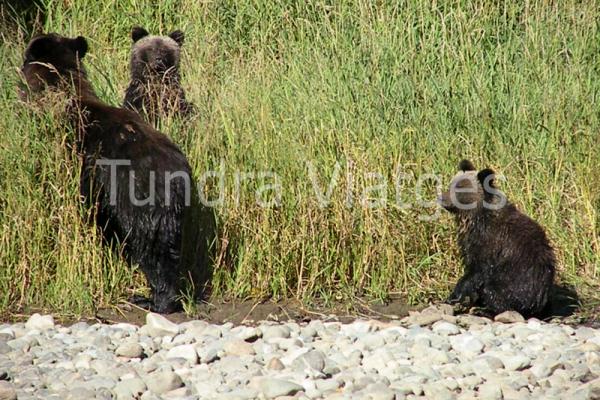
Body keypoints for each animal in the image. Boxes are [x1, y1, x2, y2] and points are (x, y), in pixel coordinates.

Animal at [436, 159, 556, 318]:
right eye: (451, 184)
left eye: (460, 189)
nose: (441, 198)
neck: (476, 217)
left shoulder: (489, 243)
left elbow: (476, 271)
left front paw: (454, 296)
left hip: (515, 282)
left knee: (495, 293)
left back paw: (484, 310)